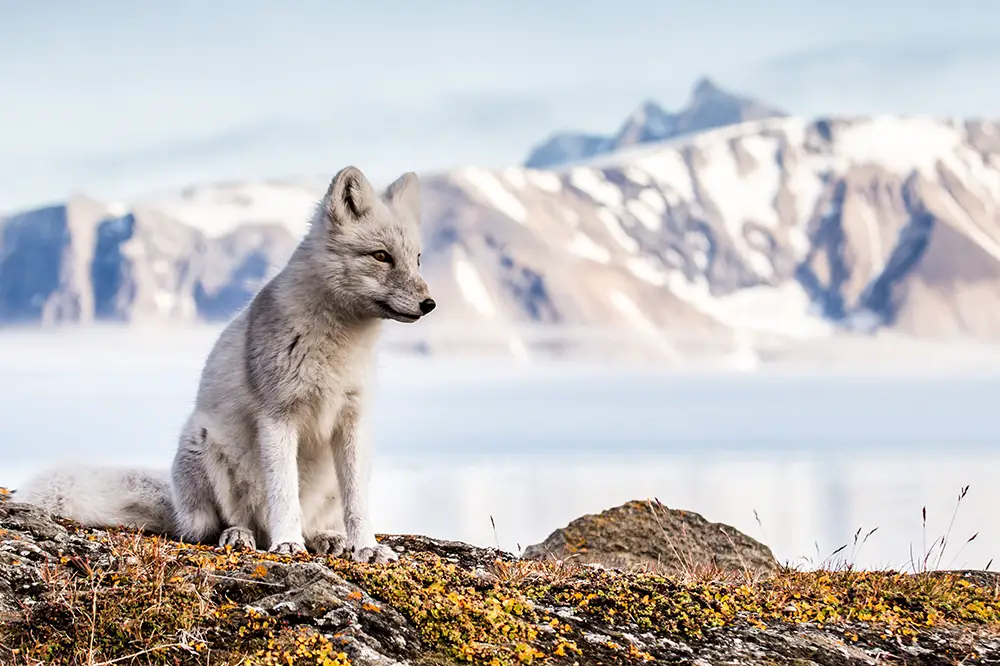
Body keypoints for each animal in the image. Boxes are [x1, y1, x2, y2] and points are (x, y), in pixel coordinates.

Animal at [17, 165, 436, 560]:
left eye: (417, 259)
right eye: (381, 256)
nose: (429, 304)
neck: (339, 345)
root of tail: (177, 506)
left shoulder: (353, 420)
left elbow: (358, 504)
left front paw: (367, 547)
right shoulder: (277, 417)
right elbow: (284, 494)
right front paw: (287, 544)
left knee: (316, 519)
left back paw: (326, 538)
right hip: (203, 447)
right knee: (217, 527)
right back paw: (242, 536)